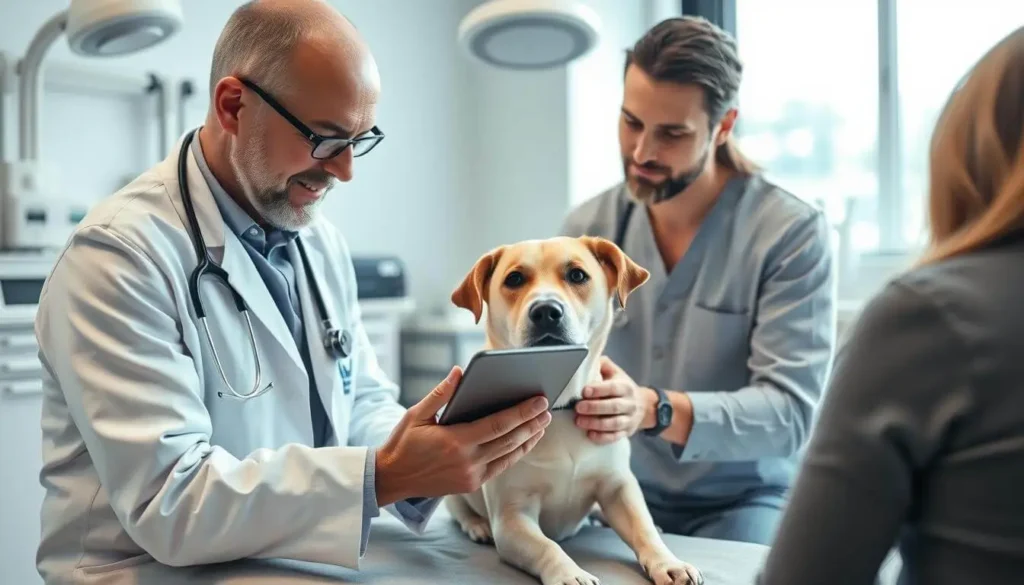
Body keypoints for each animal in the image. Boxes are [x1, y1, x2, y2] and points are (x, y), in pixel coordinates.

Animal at [444, 234, 700, 585]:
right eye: (514, 279)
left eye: (577, 275)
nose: (546, 311)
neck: (562, 404)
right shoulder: (512, 518)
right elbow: (547, 546)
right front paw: (570, 573)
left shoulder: (619, 486)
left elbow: (643, 530)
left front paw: (669, 562)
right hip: (454, 491)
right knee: (459, 510)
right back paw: (477, 525)